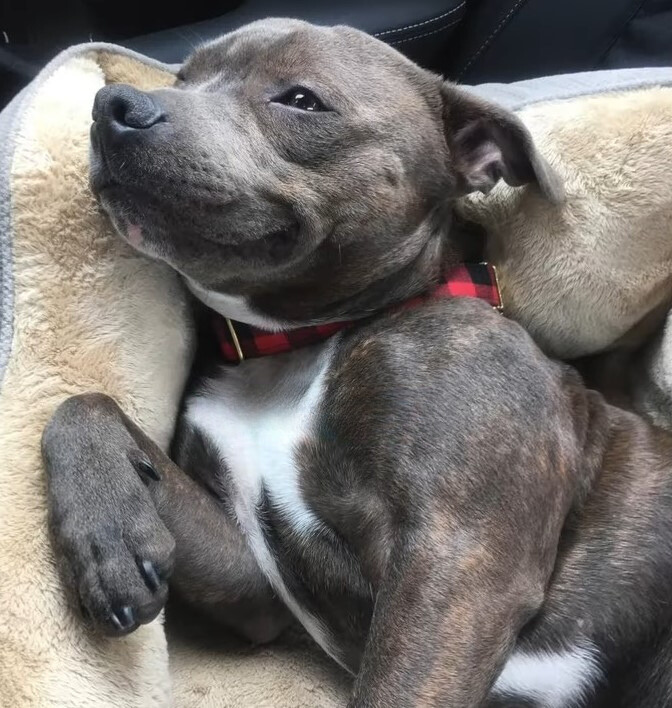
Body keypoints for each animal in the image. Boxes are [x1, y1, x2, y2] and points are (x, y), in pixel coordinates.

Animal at [42, 18, 672, 708]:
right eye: (185, 77)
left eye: (300, 100)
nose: (113, 105)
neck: (301, 346)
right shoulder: (258, 584)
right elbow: (81, 403)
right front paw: (108, 538)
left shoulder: (461, 564)